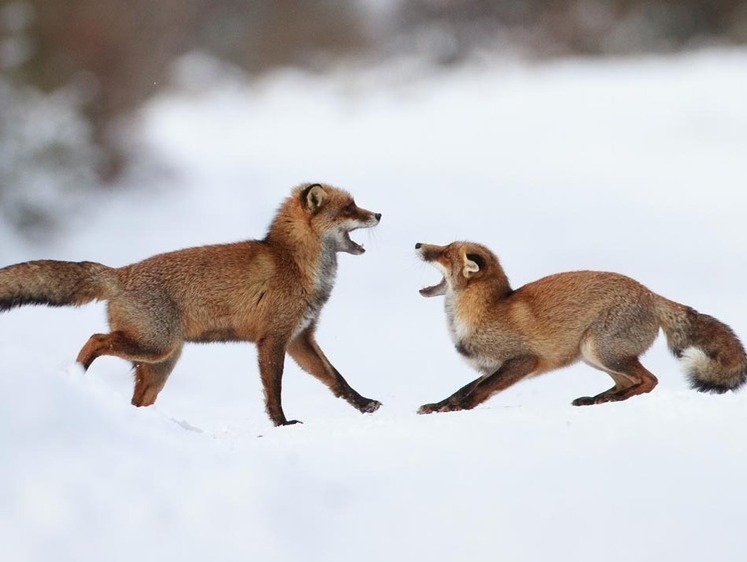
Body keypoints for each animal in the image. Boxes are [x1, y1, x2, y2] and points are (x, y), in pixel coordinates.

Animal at [0, 184, 382, 424]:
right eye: (349, 208)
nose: (378, 214)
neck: (295, 262)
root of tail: (122, 273)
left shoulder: (300, 338)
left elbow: (336, 379)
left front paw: (364, 405)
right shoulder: (273, 339)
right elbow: (274, 391)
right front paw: (282, 424)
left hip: (160, 362)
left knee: (136, 398)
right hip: (154, 345)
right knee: (95, 339)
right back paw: (76, 375)